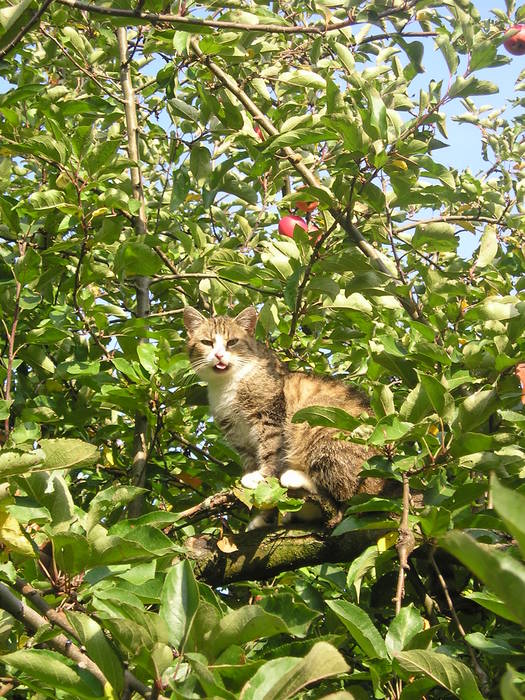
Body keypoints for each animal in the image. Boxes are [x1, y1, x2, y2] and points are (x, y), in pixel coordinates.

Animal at [182, 304, 382, 528]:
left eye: (232, 342)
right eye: (207, 343)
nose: (218, 356)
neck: (227, 384)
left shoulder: (270, 417)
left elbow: (270, 451)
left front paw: (262, 478)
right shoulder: (239, 437)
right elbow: (252, 462)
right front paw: (262, 516)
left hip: (320, 423)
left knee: (344, 499)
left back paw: (297, 478)